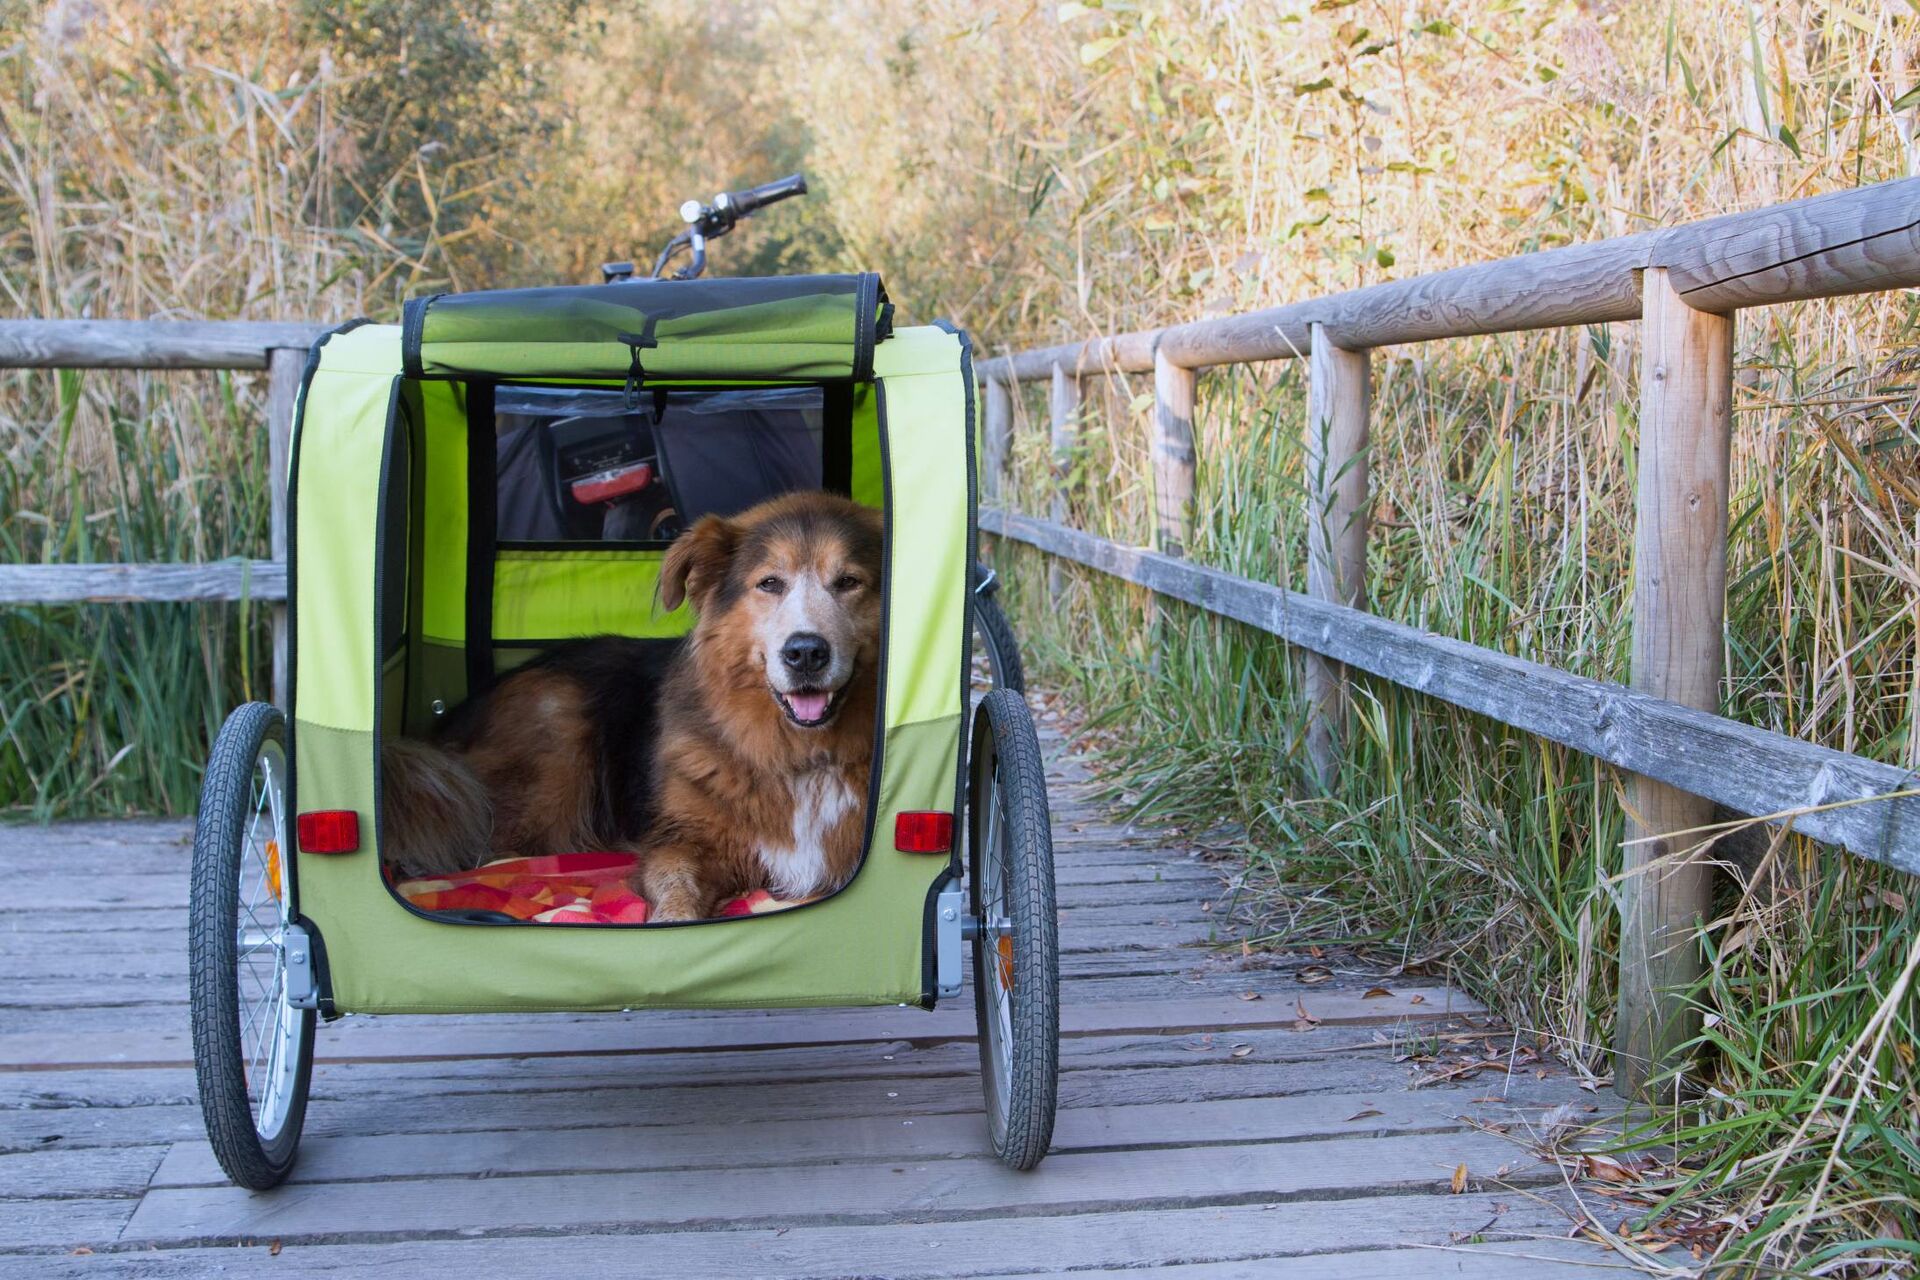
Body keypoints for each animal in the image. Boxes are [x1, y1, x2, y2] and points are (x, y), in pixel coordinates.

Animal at [384, 491, 890, 921]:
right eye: (769, 584)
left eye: (849, 582)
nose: (805, 653)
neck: (802, 754)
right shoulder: (680, 842)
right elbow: (676, 888)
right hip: (556, 728)